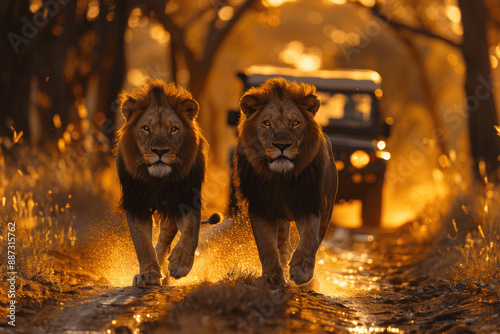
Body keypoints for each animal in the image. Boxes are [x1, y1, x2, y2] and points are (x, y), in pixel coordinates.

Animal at [118, 79, 220, 286]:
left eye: (174, 129)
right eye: (146, 128)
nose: (160, 151)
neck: (158, 180)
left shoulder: (186, 199)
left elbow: (191, 231)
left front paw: (181, 263)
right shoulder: (136, 203)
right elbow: (142, 243)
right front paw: (147, 274)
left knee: (164, 239)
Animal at [235, 77, 338, 288]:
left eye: (295, 123)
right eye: (267, 123)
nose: (281, 146)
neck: (281, 178)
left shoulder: (309, 203)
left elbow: (309, 239)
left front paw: (302, 272)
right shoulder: (261, 207)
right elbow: (266, 246)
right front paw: (271, 277)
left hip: (327, 206)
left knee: (316, 238)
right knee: (282, 242)